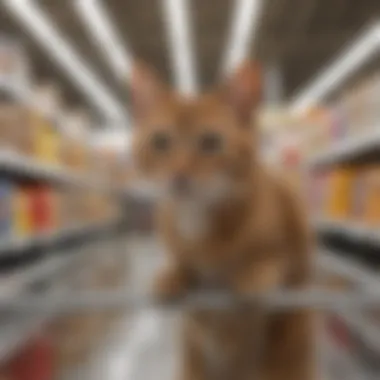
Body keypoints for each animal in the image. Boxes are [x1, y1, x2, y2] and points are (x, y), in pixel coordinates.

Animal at [131, 60, 314, 378]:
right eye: (161, 142)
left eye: (210, 142)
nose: (178, 176)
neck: (199, 218)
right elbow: (182, 262)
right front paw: (171, 275)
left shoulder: (294, 235)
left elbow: (276, 256)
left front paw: (255, 272)